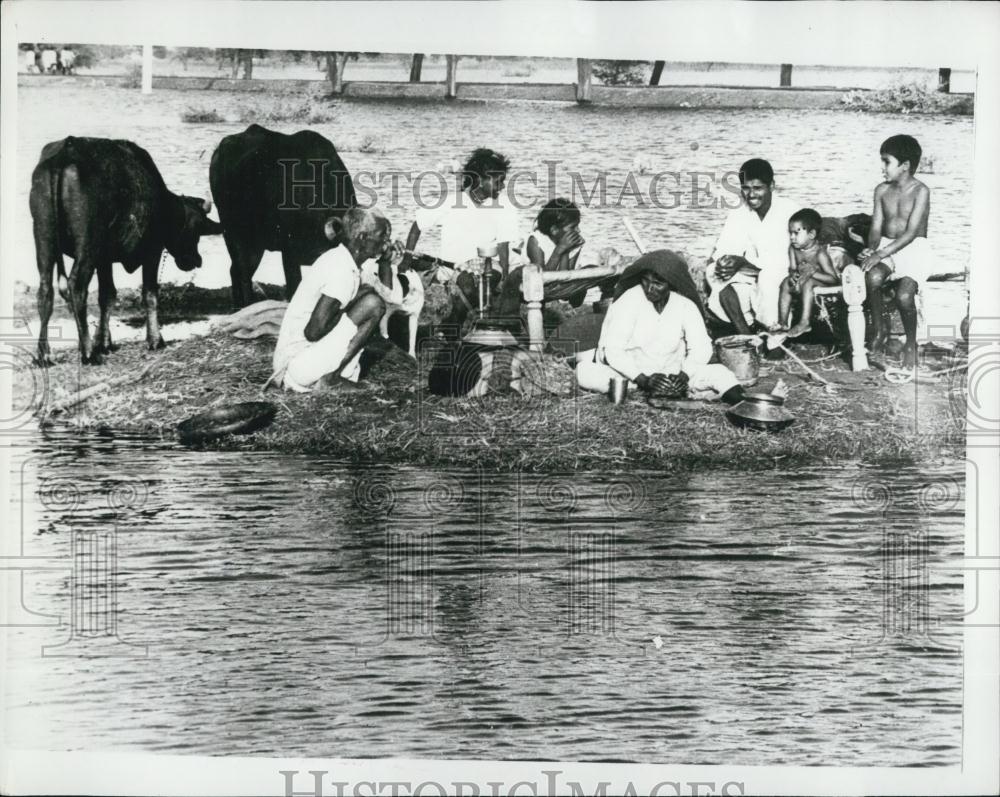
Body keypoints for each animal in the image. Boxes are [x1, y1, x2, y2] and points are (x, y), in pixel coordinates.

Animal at [29, 139, 223, 366]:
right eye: (196, 230)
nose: (196, 260)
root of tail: (65, 152)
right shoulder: (152, 251)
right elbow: (150, 293)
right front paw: (155, 340)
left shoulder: (104, 259)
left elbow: (107, 295)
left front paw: (104, 342)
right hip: (86, 246)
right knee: (76, 287)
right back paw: (87, 353)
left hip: (43, 238)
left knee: (45, 291)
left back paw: (44, 354)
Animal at [209, 123, 358, 306]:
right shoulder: (289, 252)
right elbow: (294, 288)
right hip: (233, 232)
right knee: (242, 270)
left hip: (255, 242)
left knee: (236, 270)